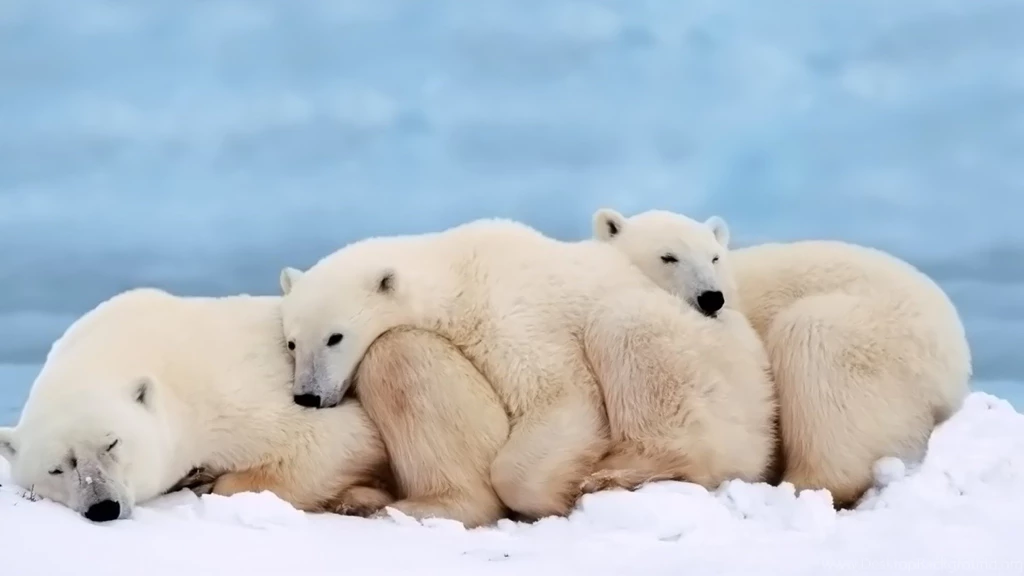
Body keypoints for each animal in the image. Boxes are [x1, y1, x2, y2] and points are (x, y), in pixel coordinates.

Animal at [0, 288, 394, 522]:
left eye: (112, 443)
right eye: (56, 469)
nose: (103, 507)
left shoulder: (233, 393)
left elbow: (339, 437)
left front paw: (209, 482)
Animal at [277, 217, 777, 520]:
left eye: (335, 337)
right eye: (292, 342)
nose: (308, 396)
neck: (457, 271)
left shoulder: (509, 313)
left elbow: (560, 395)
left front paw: (553, 496)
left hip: (709, 368)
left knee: (626, 329)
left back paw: (618, 473)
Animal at [592, 207, 972, 507]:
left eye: (714, 256)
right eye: (668, 256)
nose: (712, 297)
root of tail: (957, 362)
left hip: (878, 338)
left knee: (814, 347)